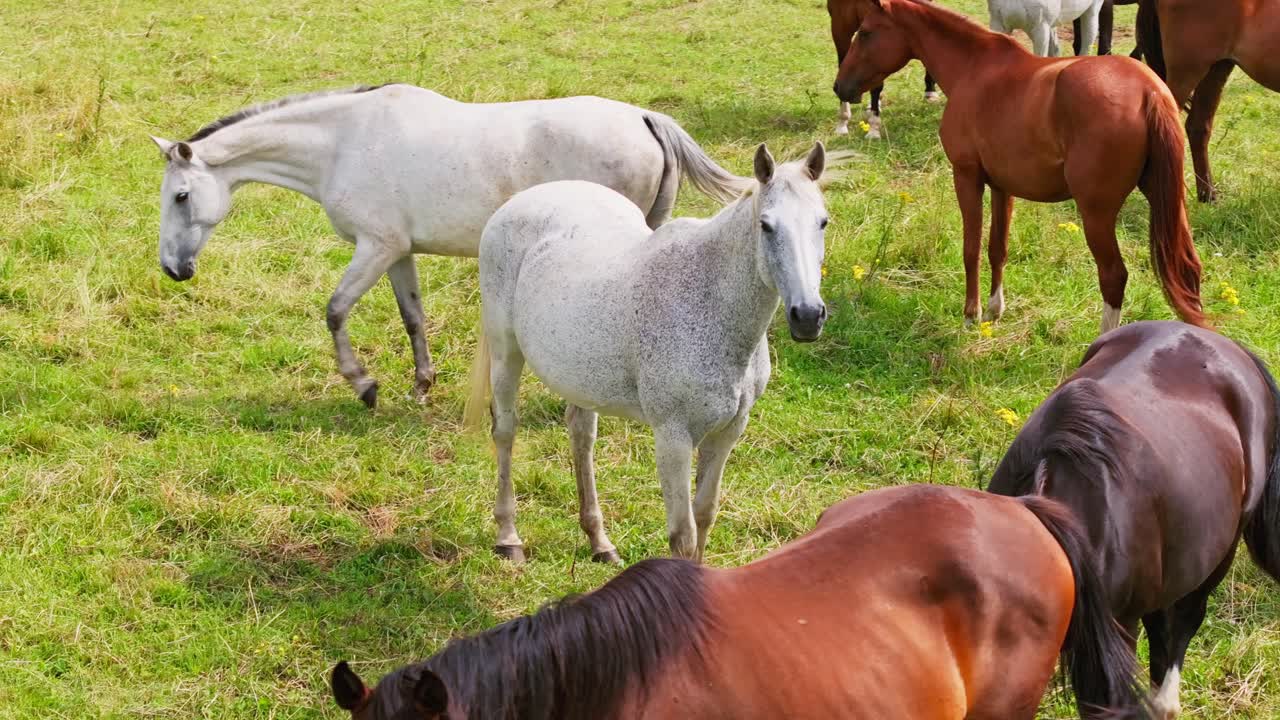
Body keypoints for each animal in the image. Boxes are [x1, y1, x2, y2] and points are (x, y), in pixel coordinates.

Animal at [149, 84, 749, 409]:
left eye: (181, 195)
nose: (174, 269)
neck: (343, 142)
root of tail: (644, 118)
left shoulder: (374, 247)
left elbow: (335, 310)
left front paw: (364, 386)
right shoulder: (398, 252)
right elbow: (412, 317)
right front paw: (421, 385)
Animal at [461, 144, 835, 564]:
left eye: (822, 222)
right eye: (766, 226)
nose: (807, 316)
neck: (707, 300)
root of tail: (517, 204)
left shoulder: (727, 432)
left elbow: (705, 514)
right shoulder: (673, 437)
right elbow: (683, 534)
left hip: (583, 379)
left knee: (581, 435)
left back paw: (599, 541)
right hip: (505, 352)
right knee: (505, 430)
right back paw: (509, 537)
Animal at [828, 0, 939, 138]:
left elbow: (876, 85)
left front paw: (873, 129)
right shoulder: (840, 21)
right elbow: (844, 65)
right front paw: (842, 123)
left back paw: (930, 92)